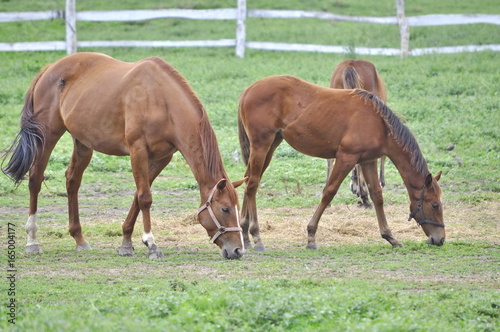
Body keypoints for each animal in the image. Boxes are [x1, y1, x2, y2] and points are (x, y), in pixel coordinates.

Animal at [2, 52, 245, 260]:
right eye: (224, 209)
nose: (238, 250)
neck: (161, 100)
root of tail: (49, 68)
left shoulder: (161, 158)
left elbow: (138, 197)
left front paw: (126, 243)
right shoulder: (138, 150)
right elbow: (145, 197)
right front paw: (151, 244)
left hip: (83, 143)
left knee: (72, 180)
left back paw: (79, 238)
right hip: (47, 135)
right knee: (35, 179)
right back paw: (32, 241)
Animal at [238, 75, 446, 250]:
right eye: (435, 205)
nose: (440, 239)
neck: (378, 123)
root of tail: (249, 89)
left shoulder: (368, 161)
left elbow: (377, 196)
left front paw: (390, 236)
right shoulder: (346, 157)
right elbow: (329, 192)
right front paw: (311, 236)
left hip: (271, 145)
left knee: (248, 179)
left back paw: (245, 232)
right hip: (262, 145)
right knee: (253, 183)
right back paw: (256, 236)